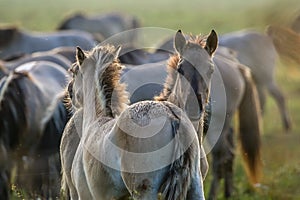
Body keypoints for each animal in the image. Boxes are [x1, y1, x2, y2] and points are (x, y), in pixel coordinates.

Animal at [60, 29, 218, 198]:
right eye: (180, 69)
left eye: (211, 70)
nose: (68, 91)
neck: (96, 121)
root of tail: (172, 117)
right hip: (195, 186)